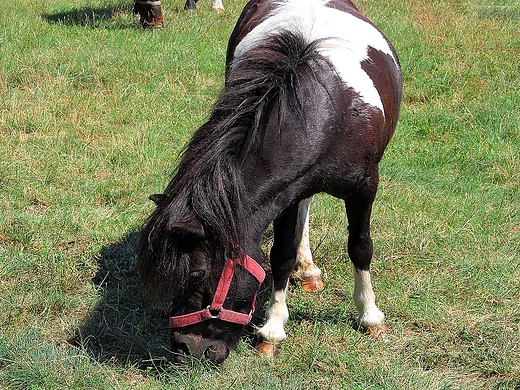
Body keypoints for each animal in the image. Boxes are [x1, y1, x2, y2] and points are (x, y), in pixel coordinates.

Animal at [137, 0, 402, 364]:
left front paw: (370, 316)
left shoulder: (364, 187)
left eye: (196, 274)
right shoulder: (283, 194)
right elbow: (281, 256)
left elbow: (360, 247)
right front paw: (273, 329)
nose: (185, 348)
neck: (327, 116)